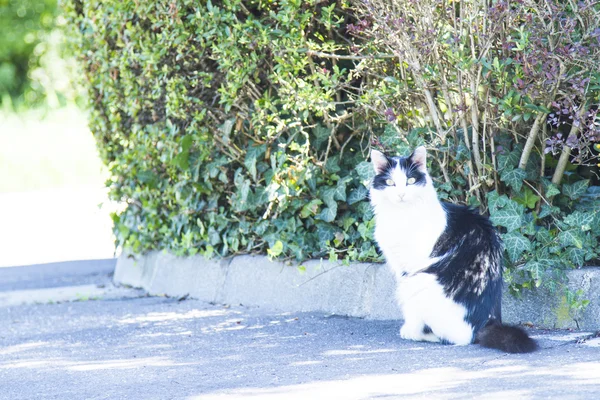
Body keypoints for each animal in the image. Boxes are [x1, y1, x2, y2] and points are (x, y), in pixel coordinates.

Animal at [370, 147, 540, 354]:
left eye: (410, 181)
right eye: (390, 182)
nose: (401, 194)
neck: (401, 216)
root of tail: (486, 323)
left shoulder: (411, 267)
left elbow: (410, 312)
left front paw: (409, 330)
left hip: (419, 281)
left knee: (458, 338)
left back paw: (423, 335)